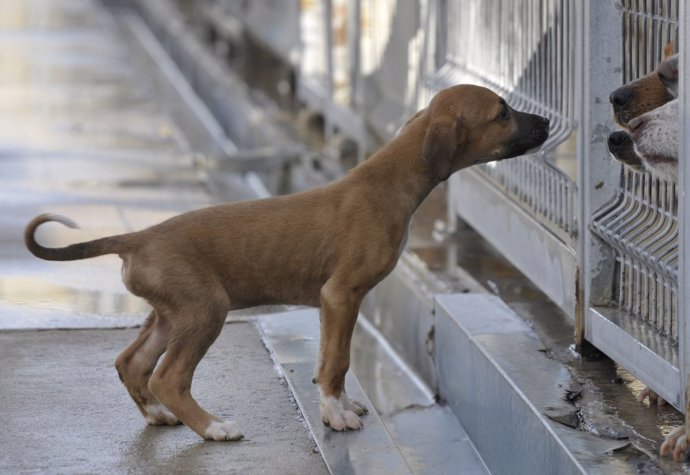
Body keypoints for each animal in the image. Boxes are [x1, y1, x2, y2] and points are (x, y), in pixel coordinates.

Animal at [24, 84, 548, 442]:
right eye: (502, 113)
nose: (546, 124)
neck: (388, 182)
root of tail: (139, 236)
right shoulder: (342, 295)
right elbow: (336, 361)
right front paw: (336, 415)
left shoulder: (333, 304)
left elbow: (327, 359)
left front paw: (338, 407)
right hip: (205, 311)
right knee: (168, 377)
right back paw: (213, 427)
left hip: (171, 314)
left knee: (131, 362)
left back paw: (157, 416)